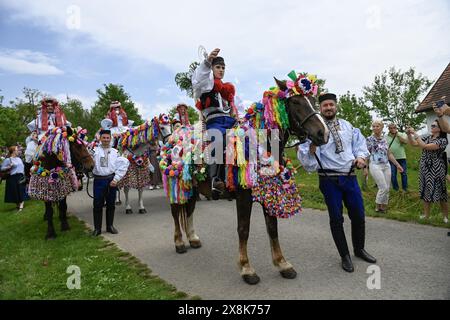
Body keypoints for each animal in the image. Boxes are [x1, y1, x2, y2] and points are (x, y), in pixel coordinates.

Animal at [160, 71, 328, 284]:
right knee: (176, 213)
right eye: (296, 102)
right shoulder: (243, 197)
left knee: (189, 211)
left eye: (313, 100)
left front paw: (282, 264)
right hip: (178, 185)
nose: (323, 133)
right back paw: (180, 243)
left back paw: (193, 238)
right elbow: (243, 229)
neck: (259, 146)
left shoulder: (268, 194)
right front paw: (247, 268)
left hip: (193, 188)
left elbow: (272, 228)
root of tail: (173, 139)